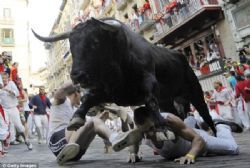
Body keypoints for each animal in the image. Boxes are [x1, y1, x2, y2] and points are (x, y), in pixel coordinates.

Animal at [32, 17, 216, 134]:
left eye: (95, 42)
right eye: (71, 46)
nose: (77, 76)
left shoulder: (148, 81)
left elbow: (150, 100)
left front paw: (162, 128)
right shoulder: (109, 92)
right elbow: (88, 99)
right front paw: (76, 118)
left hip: (195, 91)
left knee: (205, 115)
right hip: (168, 100)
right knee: (178, 114)